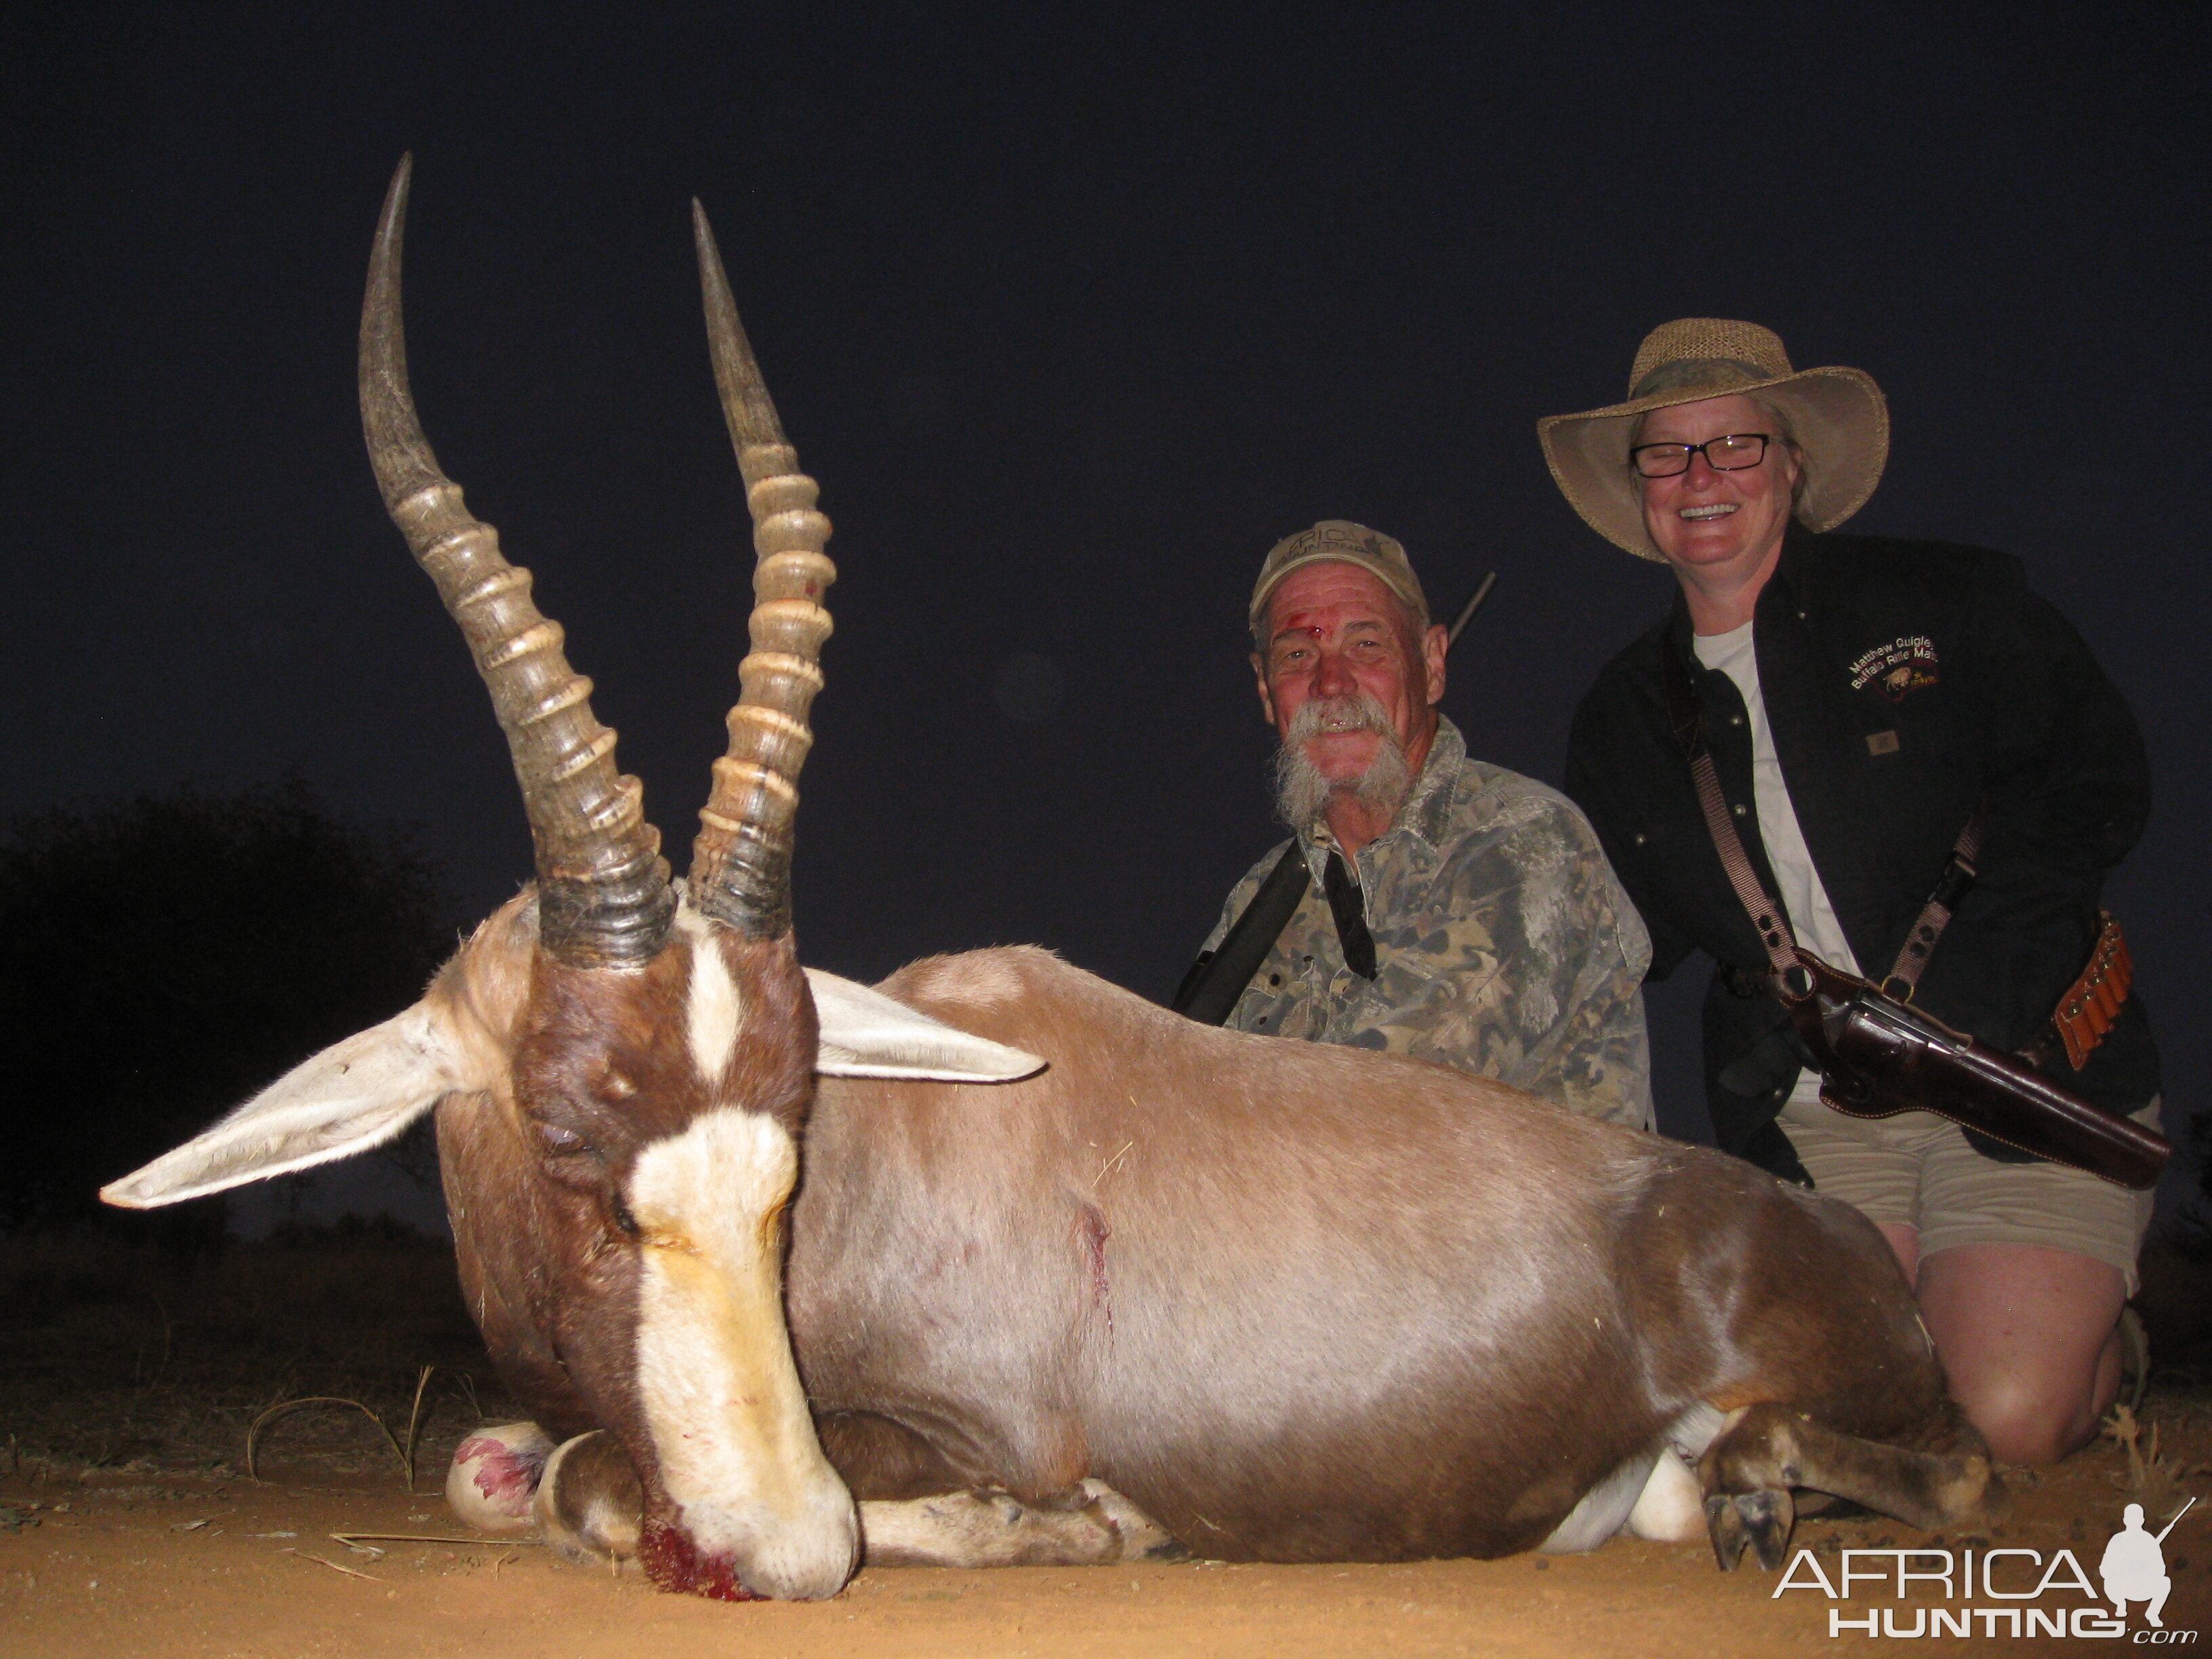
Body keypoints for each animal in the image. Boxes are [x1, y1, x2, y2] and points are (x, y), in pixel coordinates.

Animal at [108, 162, 2008, 1601]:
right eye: (573, 1137)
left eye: (796, 1125)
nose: (781, 1551)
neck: (899, 1140)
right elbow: (500, 1463)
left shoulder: (968, 1432)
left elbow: (600, 1478)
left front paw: (1086, 1528)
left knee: (1968, 1472)